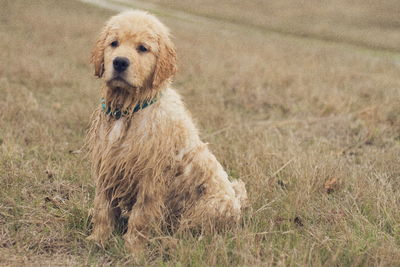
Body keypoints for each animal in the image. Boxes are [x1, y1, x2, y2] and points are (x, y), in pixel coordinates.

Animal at [86, 10, 247, 253]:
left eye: (143, 48)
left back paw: (165, 242)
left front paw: (133, 249)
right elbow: (103, 207)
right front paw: (98, 239)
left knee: (189, 235)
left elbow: (141, 216)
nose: (120, 62)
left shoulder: (151, 177)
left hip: (209, 208)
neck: (130, 110)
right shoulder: (108, 166)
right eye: (114, 43)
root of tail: (237, 202)